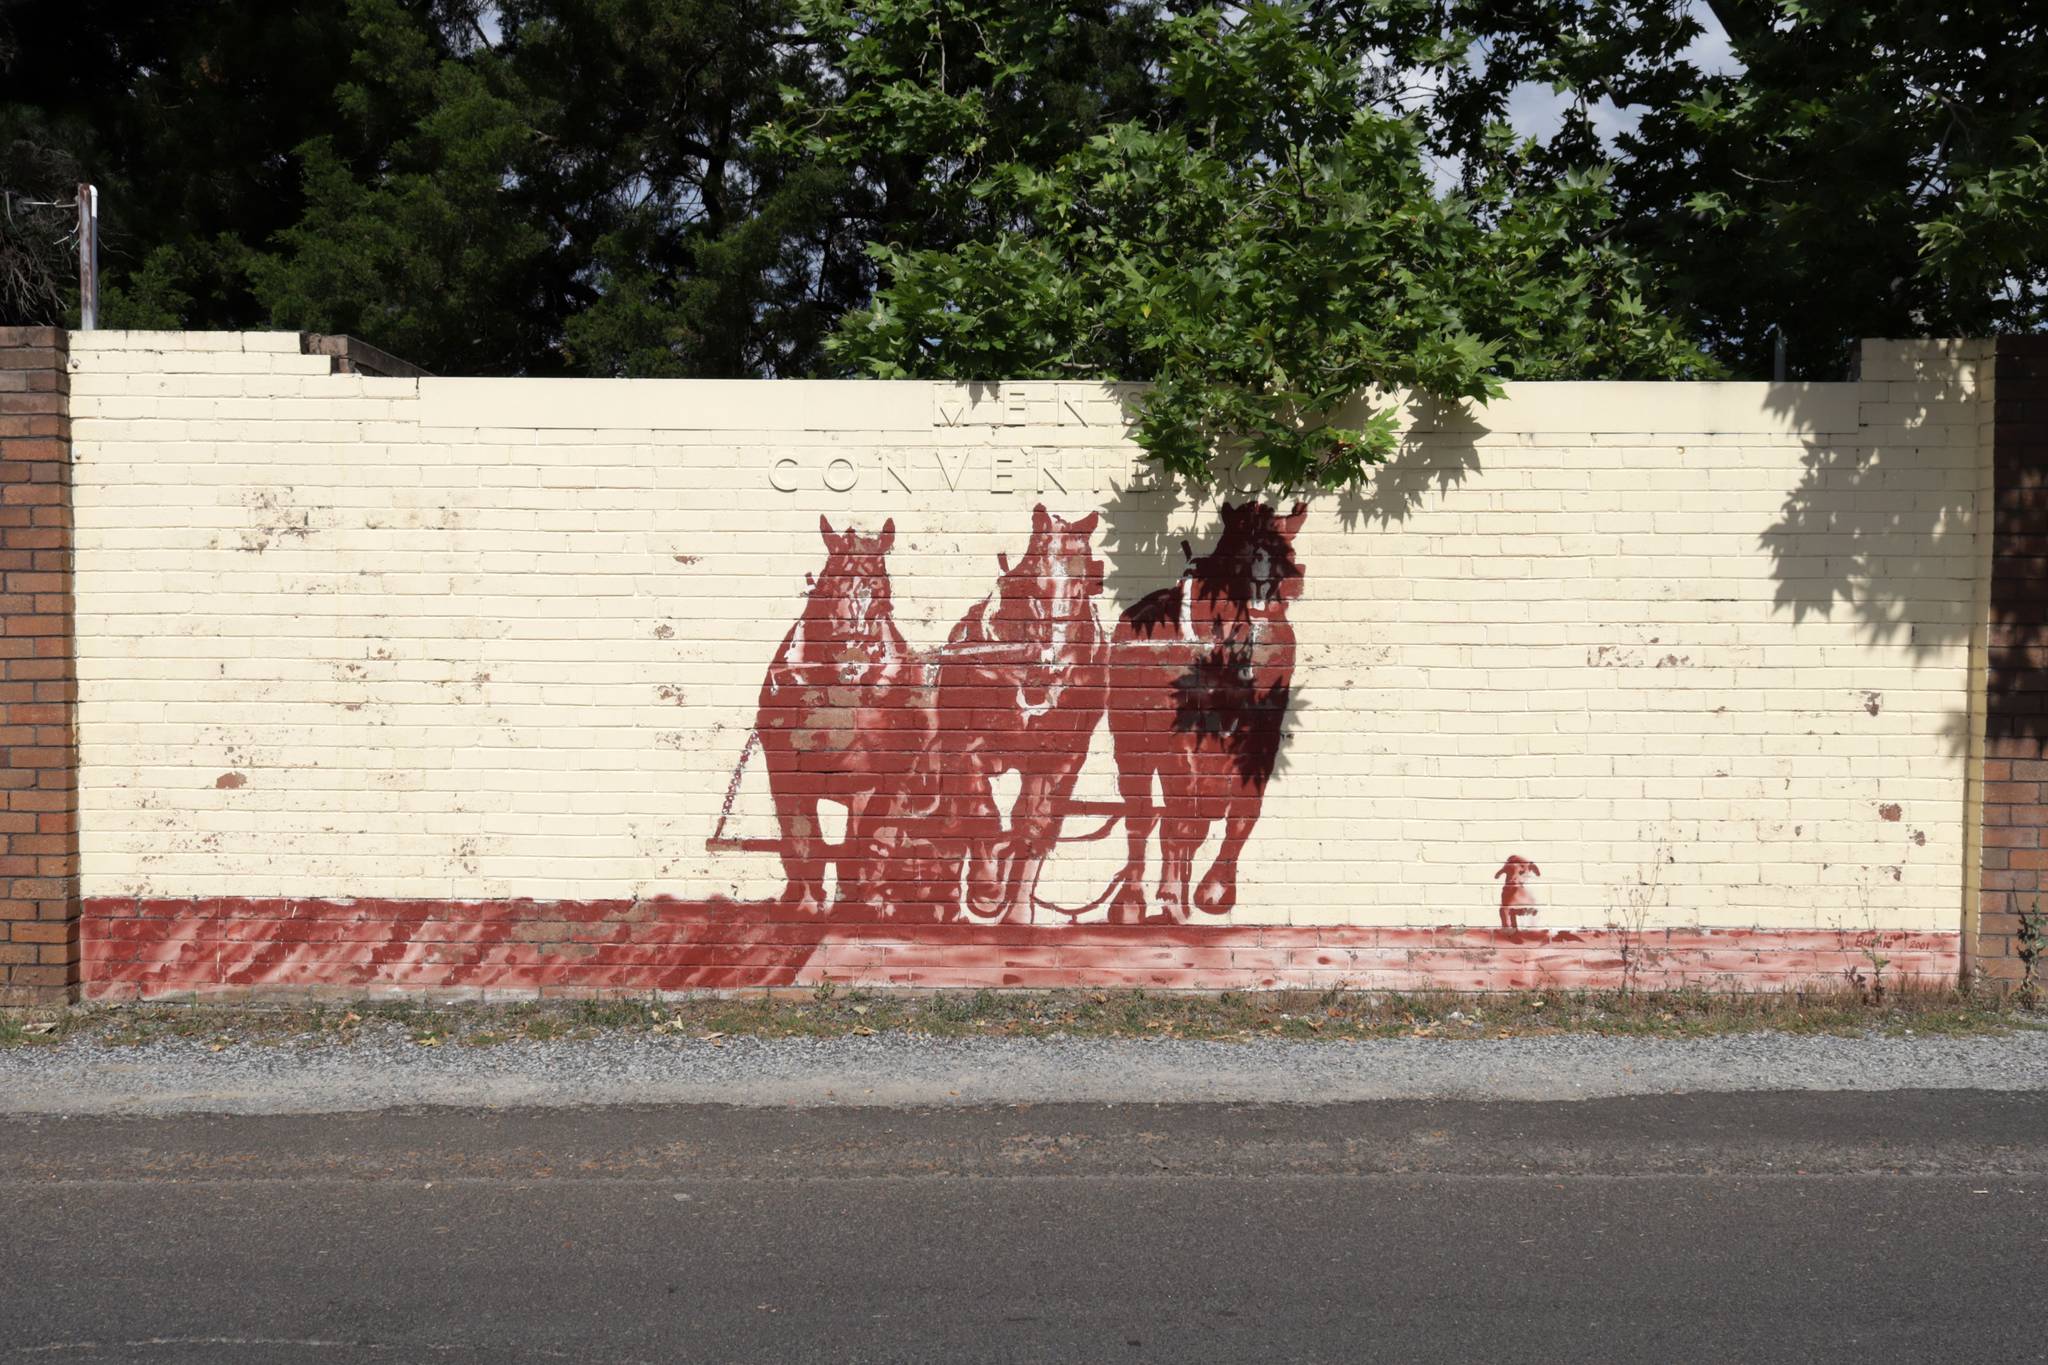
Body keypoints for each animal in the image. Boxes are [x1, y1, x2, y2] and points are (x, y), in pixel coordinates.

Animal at [757, 517, 933, 912]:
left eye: (882, 589)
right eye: (827, 583)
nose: (853, 658)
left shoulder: (872, 779)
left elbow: (868, 841)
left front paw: (868, 903)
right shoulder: (788, 774)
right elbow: (803, 839)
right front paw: (806, 906)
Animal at [933, 507, 1114, 925]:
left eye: (1087, 585)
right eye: (1034, 583)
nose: (1051, 665)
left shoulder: (1058, 759)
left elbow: (1034, 826)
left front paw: (1015, 913)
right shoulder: (967, 746)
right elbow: (980, 809)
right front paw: (986, 890)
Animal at [1105, 505, 1310, 929]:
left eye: (1289, 552)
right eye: (1238, 548)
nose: (1274, 587)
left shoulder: (1261, 734)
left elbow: (1242, 810)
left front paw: (1214, 889)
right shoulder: (1179, 737)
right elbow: (1180, 817)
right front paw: (1171, 899)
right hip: (1133, 739)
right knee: (1142, 814)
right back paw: (1133, 900)